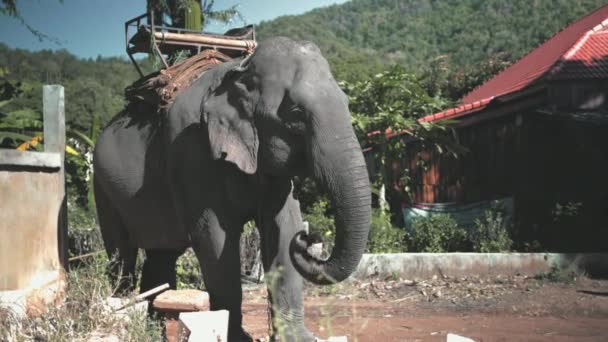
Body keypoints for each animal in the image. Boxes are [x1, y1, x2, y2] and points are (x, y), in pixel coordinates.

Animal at [94, 36, 370, 340]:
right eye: (296, 114)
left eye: (346, 102)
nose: (308, 238)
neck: (240, 71)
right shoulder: (190, 150)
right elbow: (214, 237)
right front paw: (238, 337)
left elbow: (283, 227)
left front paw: (299, 337)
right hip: (103, 187)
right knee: (122, 256)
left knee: (161, 255)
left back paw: (153, 329)